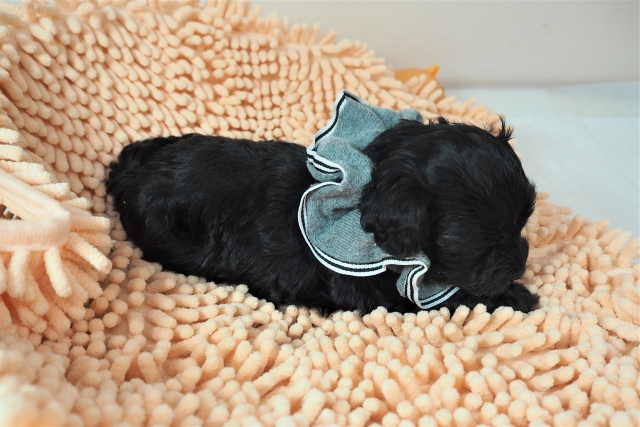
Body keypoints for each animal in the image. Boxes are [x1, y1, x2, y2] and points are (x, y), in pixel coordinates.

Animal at [106, 117, 539, 315]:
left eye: (524, 219)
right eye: (481, 245)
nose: (521, 263)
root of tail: (131, 177)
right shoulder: (381, 292)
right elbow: (450, 298)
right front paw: (520, 297)